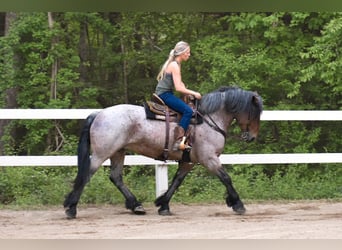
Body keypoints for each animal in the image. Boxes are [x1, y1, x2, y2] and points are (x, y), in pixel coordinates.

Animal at [63, 86, 262, 219]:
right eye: (254, 113)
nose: (252, 137)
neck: (208, 120)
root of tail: (99, 113)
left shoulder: (188, 161)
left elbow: (176, 182)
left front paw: (163, 204)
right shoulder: (209, 159)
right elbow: (226, 178)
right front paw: (238, 204)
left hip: (118, 152)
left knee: (116, 177)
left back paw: (136, 205)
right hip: (102, 153)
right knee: (86, 174)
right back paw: (71, 208)